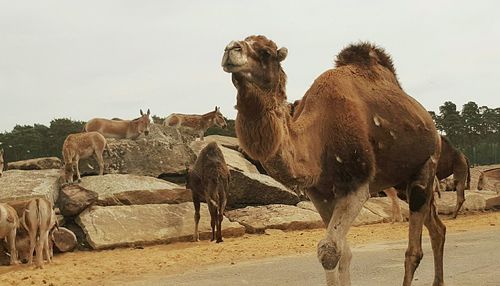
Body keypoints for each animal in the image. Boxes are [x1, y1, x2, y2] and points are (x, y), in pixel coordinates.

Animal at [223, 35, 446, 286]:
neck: (319, 134)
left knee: (414, 250)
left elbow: (329, 250)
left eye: (266, 53)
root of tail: (432, 128)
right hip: (403, 181)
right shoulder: (320, 193)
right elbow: (343, 252)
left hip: (426, 166)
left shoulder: (357, 185)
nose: (231, 48)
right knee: (437, 228)